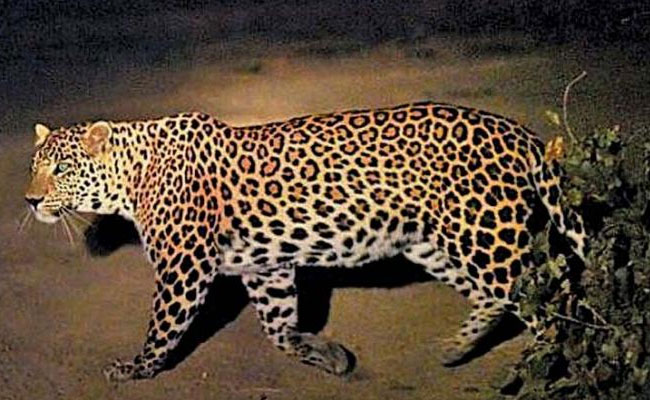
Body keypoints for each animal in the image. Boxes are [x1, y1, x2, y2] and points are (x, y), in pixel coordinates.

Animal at [24, 101, 587, 382]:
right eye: (34, 166)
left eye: (61, 169)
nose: (29, 200)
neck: (131, 178)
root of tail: (516, 131)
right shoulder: (265, 267)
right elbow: (278, 327)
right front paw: (325, 353)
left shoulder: (185, 267)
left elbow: (164, 326)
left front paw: (136, 368)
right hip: (435, 241)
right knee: (500, 297)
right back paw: (455, 348)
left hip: (482, 233)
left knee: (546, 297)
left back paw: (551, 361)